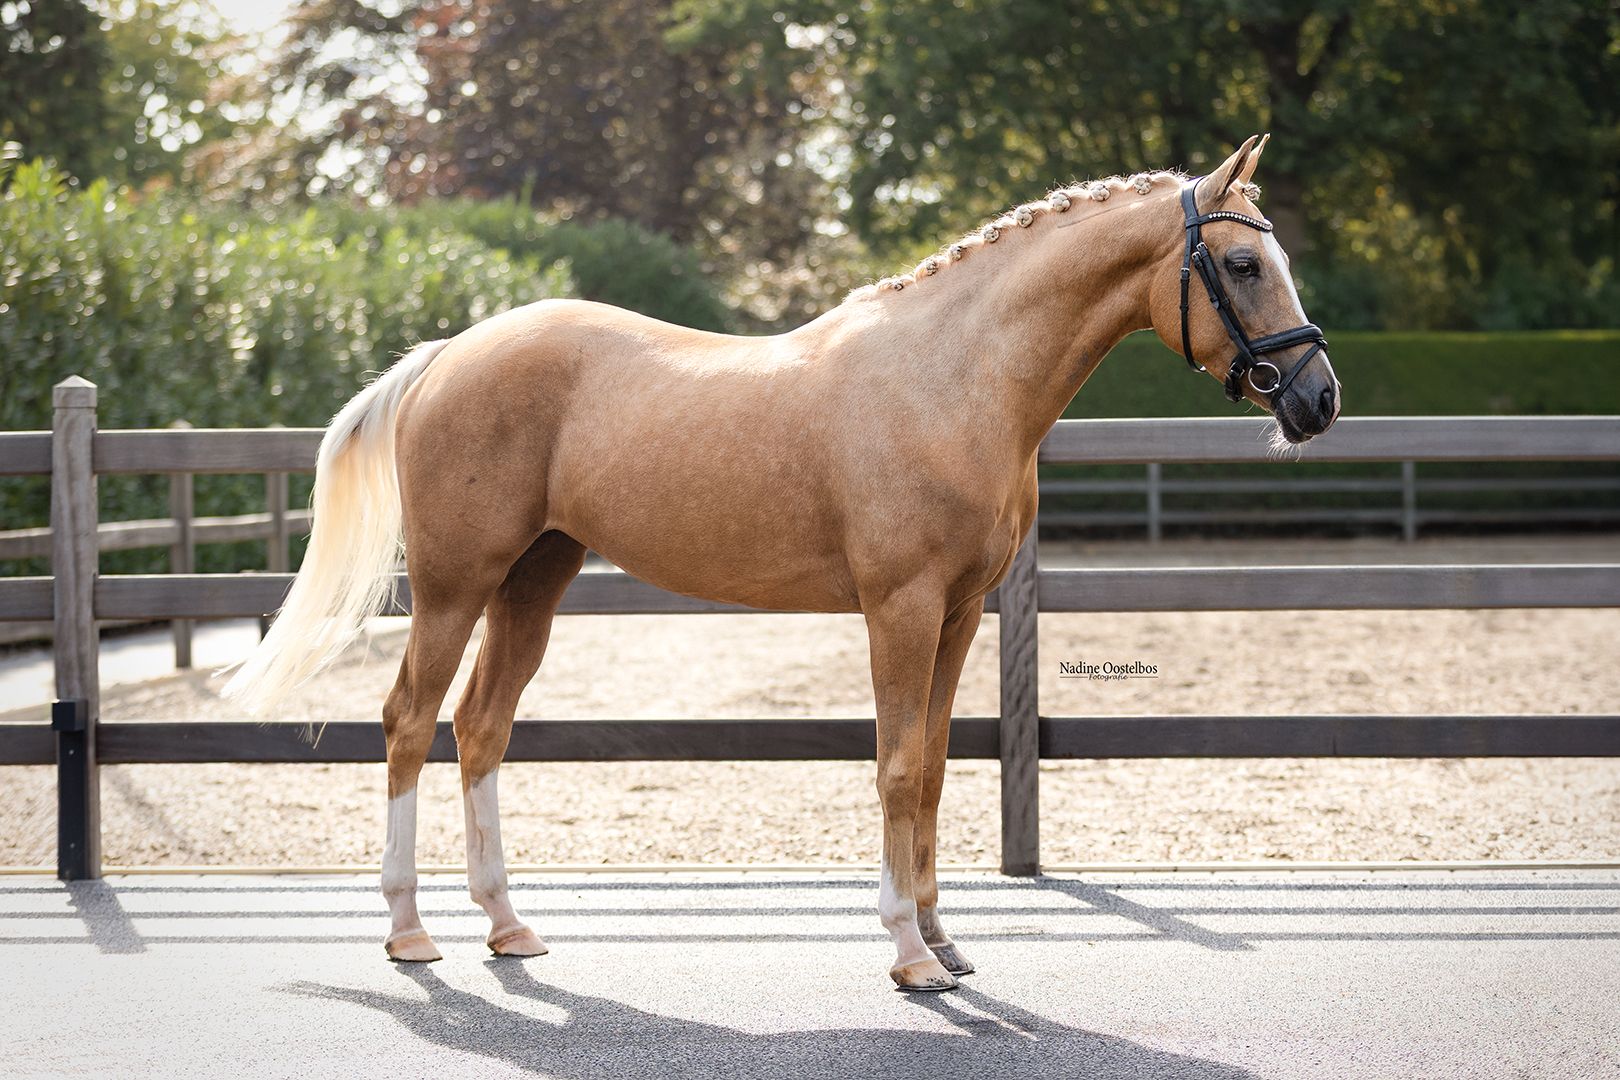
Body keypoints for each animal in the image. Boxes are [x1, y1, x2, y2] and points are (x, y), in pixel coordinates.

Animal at [223, 134, 1340, 991]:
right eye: (1242, 266)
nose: (1317, 400)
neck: (954, 376)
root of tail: (446, 354)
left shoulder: (958, 615)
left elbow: (936, 767)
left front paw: (943, 939)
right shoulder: (900, 609)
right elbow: (896, 767)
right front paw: (908, 954)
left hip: (533, 584)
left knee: (481, 728)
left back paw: (508, 926)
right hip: (456, 587)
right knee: (410, 722)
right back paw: (409, 932)